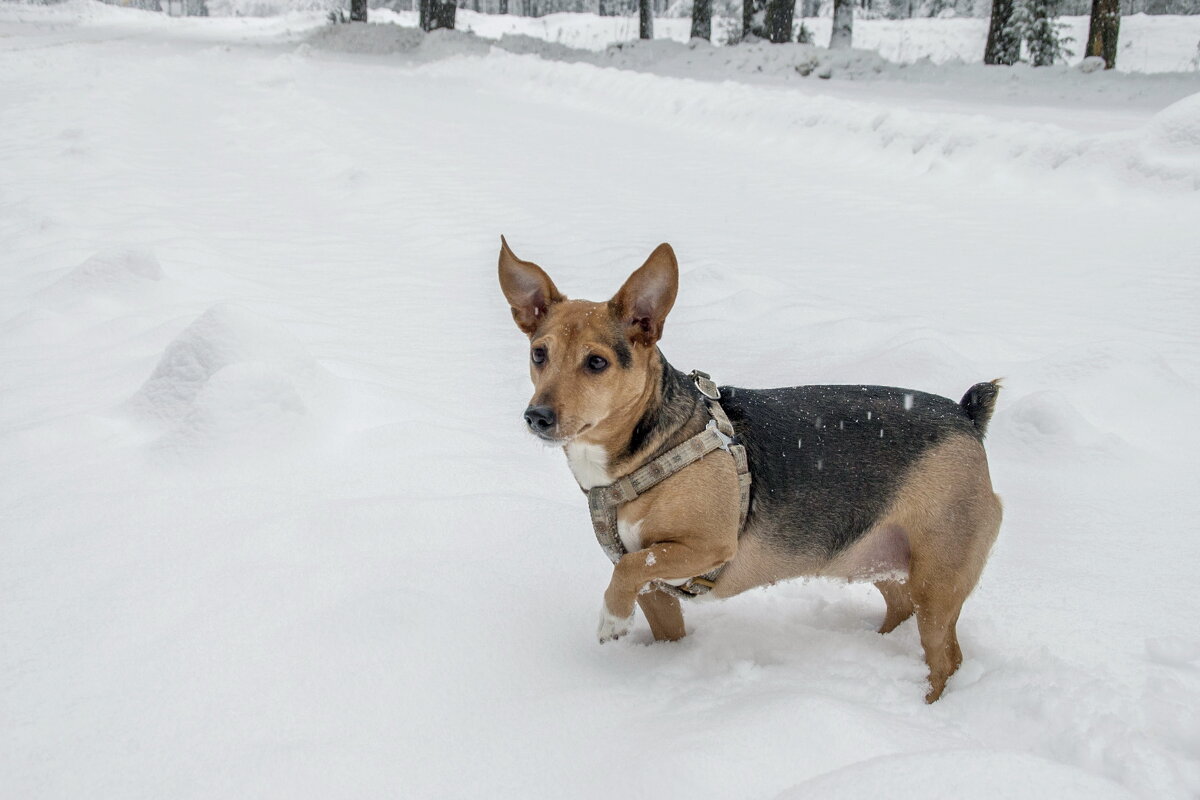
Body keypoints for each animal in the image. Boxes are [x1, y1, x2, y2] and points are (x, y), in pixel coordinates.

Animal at [496, 237, 1003, 700]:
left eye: (597, 362)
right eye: (539, 354)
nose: (537, 416)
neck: (644, 451)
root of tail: (965, 415)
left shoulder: (706, 546)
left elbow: (630, 566)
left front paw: (611, 621)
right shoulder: (656, 590)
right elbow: (644, 586)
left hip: (938, 581)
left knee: (946, 656)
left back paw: (926, 701)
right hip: (883, 560)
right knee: (900, 613)